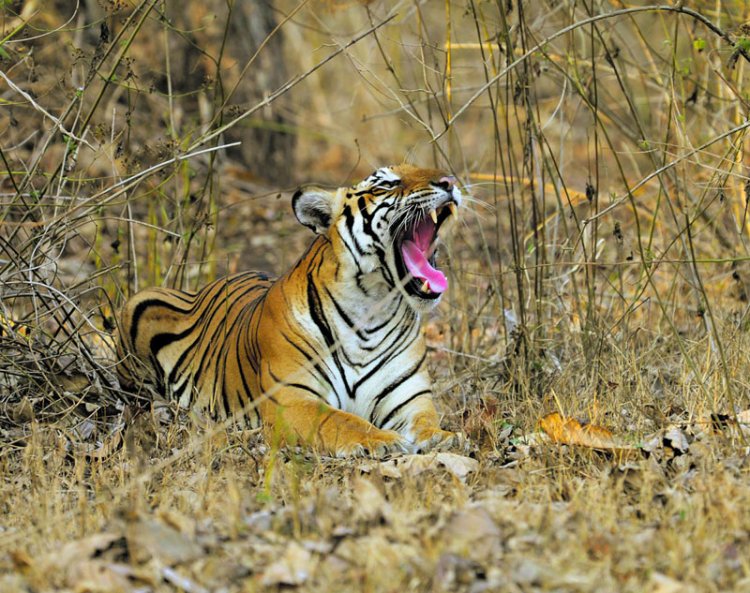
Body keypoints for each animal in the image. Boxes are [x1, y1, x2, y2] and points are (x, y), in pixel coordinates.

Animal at [116, 164, 464, 456]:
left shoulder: (409, 398)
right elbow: (342, 420)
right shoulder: (294, 400)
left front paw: (445, 437)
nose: (450, 181)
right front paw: (382, 441)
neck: (373, 308)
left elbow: (426, 422)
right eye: (387, 184)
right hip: (140, 303)